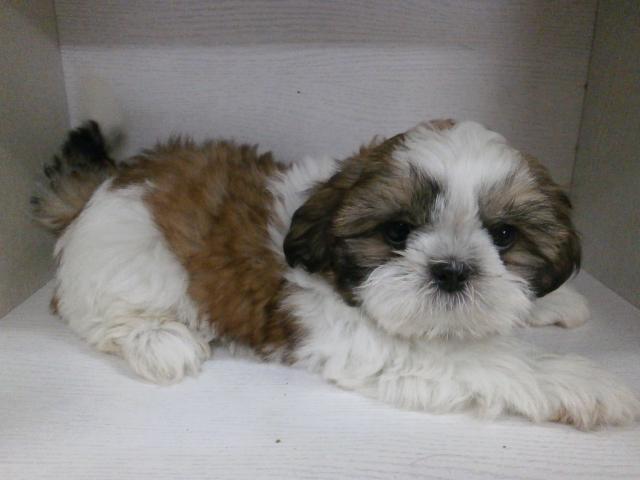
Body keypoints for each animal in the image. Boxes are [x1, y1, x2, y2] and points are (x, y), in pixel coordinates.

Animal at [32, 119, 639, 429]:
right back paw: (160, 342)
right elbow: (495, 360)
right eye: (397, 232)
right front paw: (585, 383)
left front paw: (553, 301)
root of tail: (104, 188)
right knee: (104, 317)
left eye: (505, 235)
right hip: (135, 265)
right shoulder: (383, 348)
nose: (452, 271)